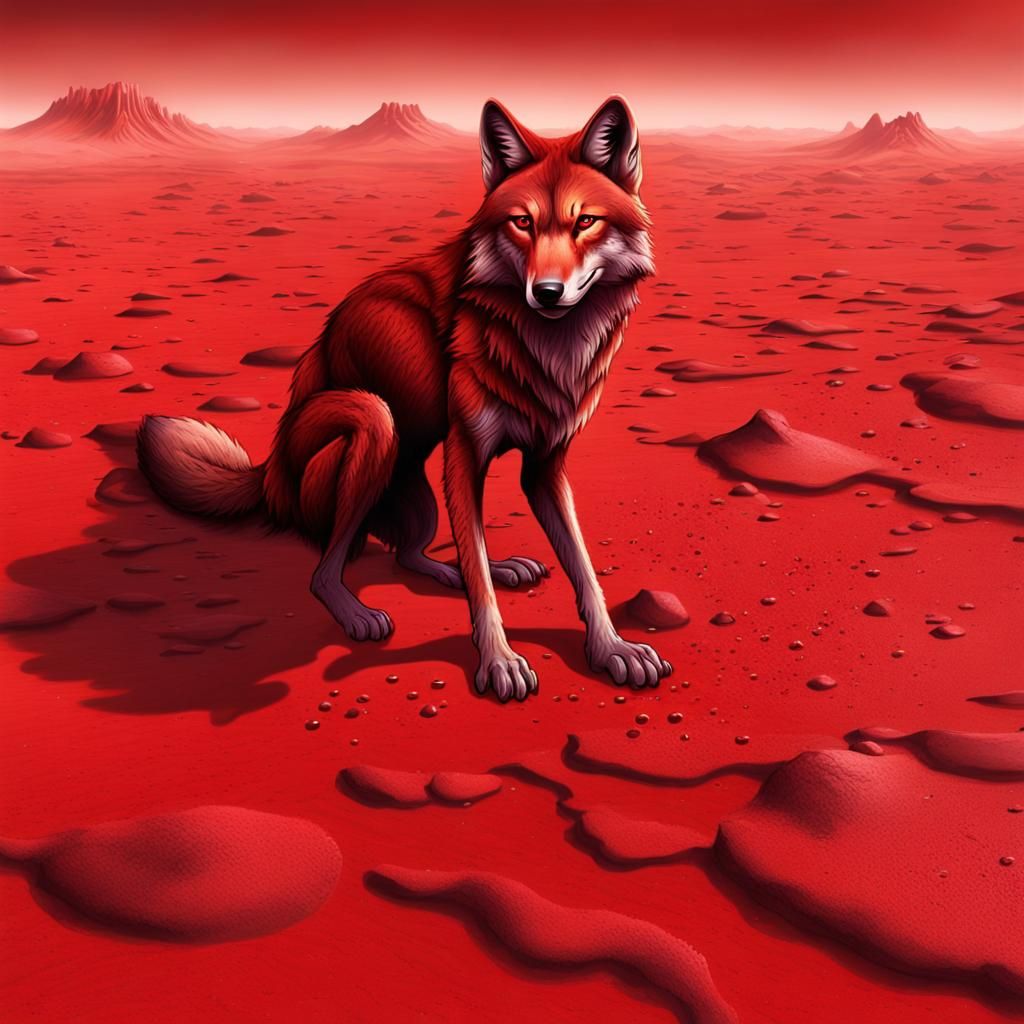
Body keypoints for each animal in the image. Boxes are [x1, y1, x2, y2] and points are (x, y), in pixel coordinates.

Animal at [137, 96, 671, 702]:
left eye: (585, 222)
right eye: (522, 222)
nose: (547, 292)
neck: (543, 346)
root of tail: (268, 474)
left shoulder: (545, 465)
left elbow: (581, 567)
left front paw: (612, 649)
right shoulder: (463, 456)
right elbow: (481, 583)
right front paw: (499, 662)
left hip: (421, 501)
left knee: (414, 554)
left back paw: (488, 567)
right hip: (372, 420)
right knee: (327, 570)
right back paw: (358, 613)